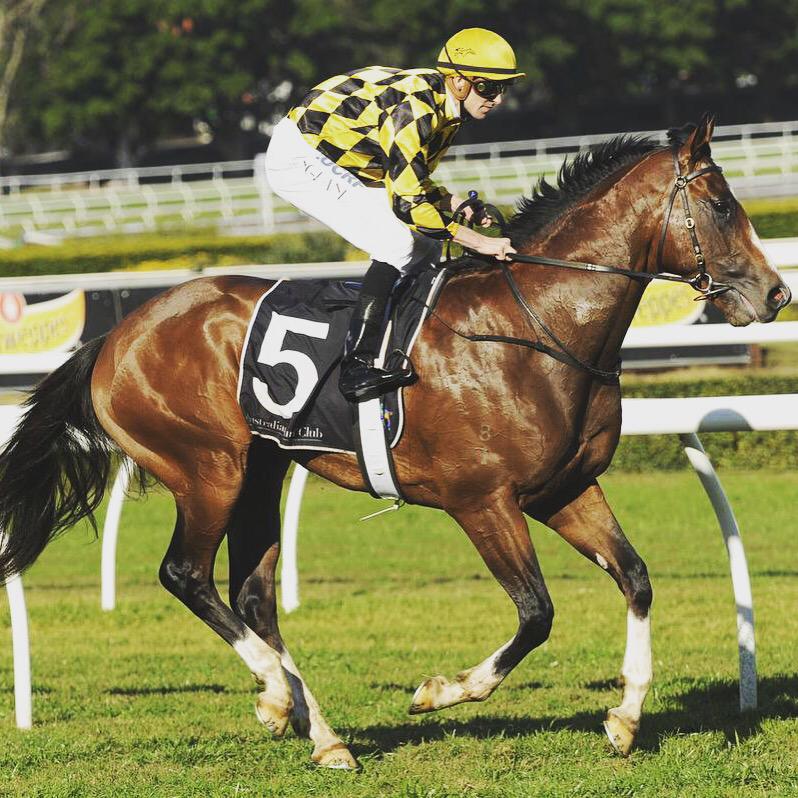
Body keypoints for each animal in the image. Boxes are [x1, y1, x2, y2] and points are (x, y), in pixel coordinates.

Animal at [0, 116, 790, 770]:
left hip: (262, 468)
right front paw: (440, 691)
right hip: (207, 468)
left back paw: (323, 736)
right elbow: (536, 613)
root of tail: (115, 336)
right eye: (723, 204)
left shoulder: (563, 489)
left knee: (252, 594)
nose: (777, 294)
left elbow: (635, 576)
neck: (536, 328)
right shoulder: (481, 501)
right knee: (185, 575)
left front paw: (624, 719)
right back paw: (276, 698)